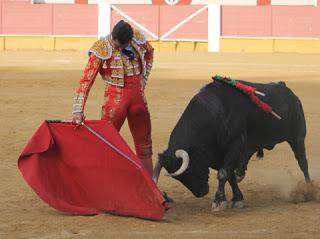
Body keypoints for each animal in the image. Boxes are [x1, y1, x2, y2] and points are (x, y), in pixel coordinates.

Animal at [154, 79, 312, 210]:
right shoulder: (219, 154)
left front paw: (218, 201)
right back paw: (240, 173)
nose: (201, 193)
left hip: (297, 138)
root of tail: (285, 87)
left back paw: (309, 189)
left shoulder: (235, 145)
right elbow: (229, 176)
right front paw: (237, 199)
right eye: (178, 178)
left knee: (303, 163)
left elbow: (223, 173)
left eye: (189, 170)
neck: (215, 111)